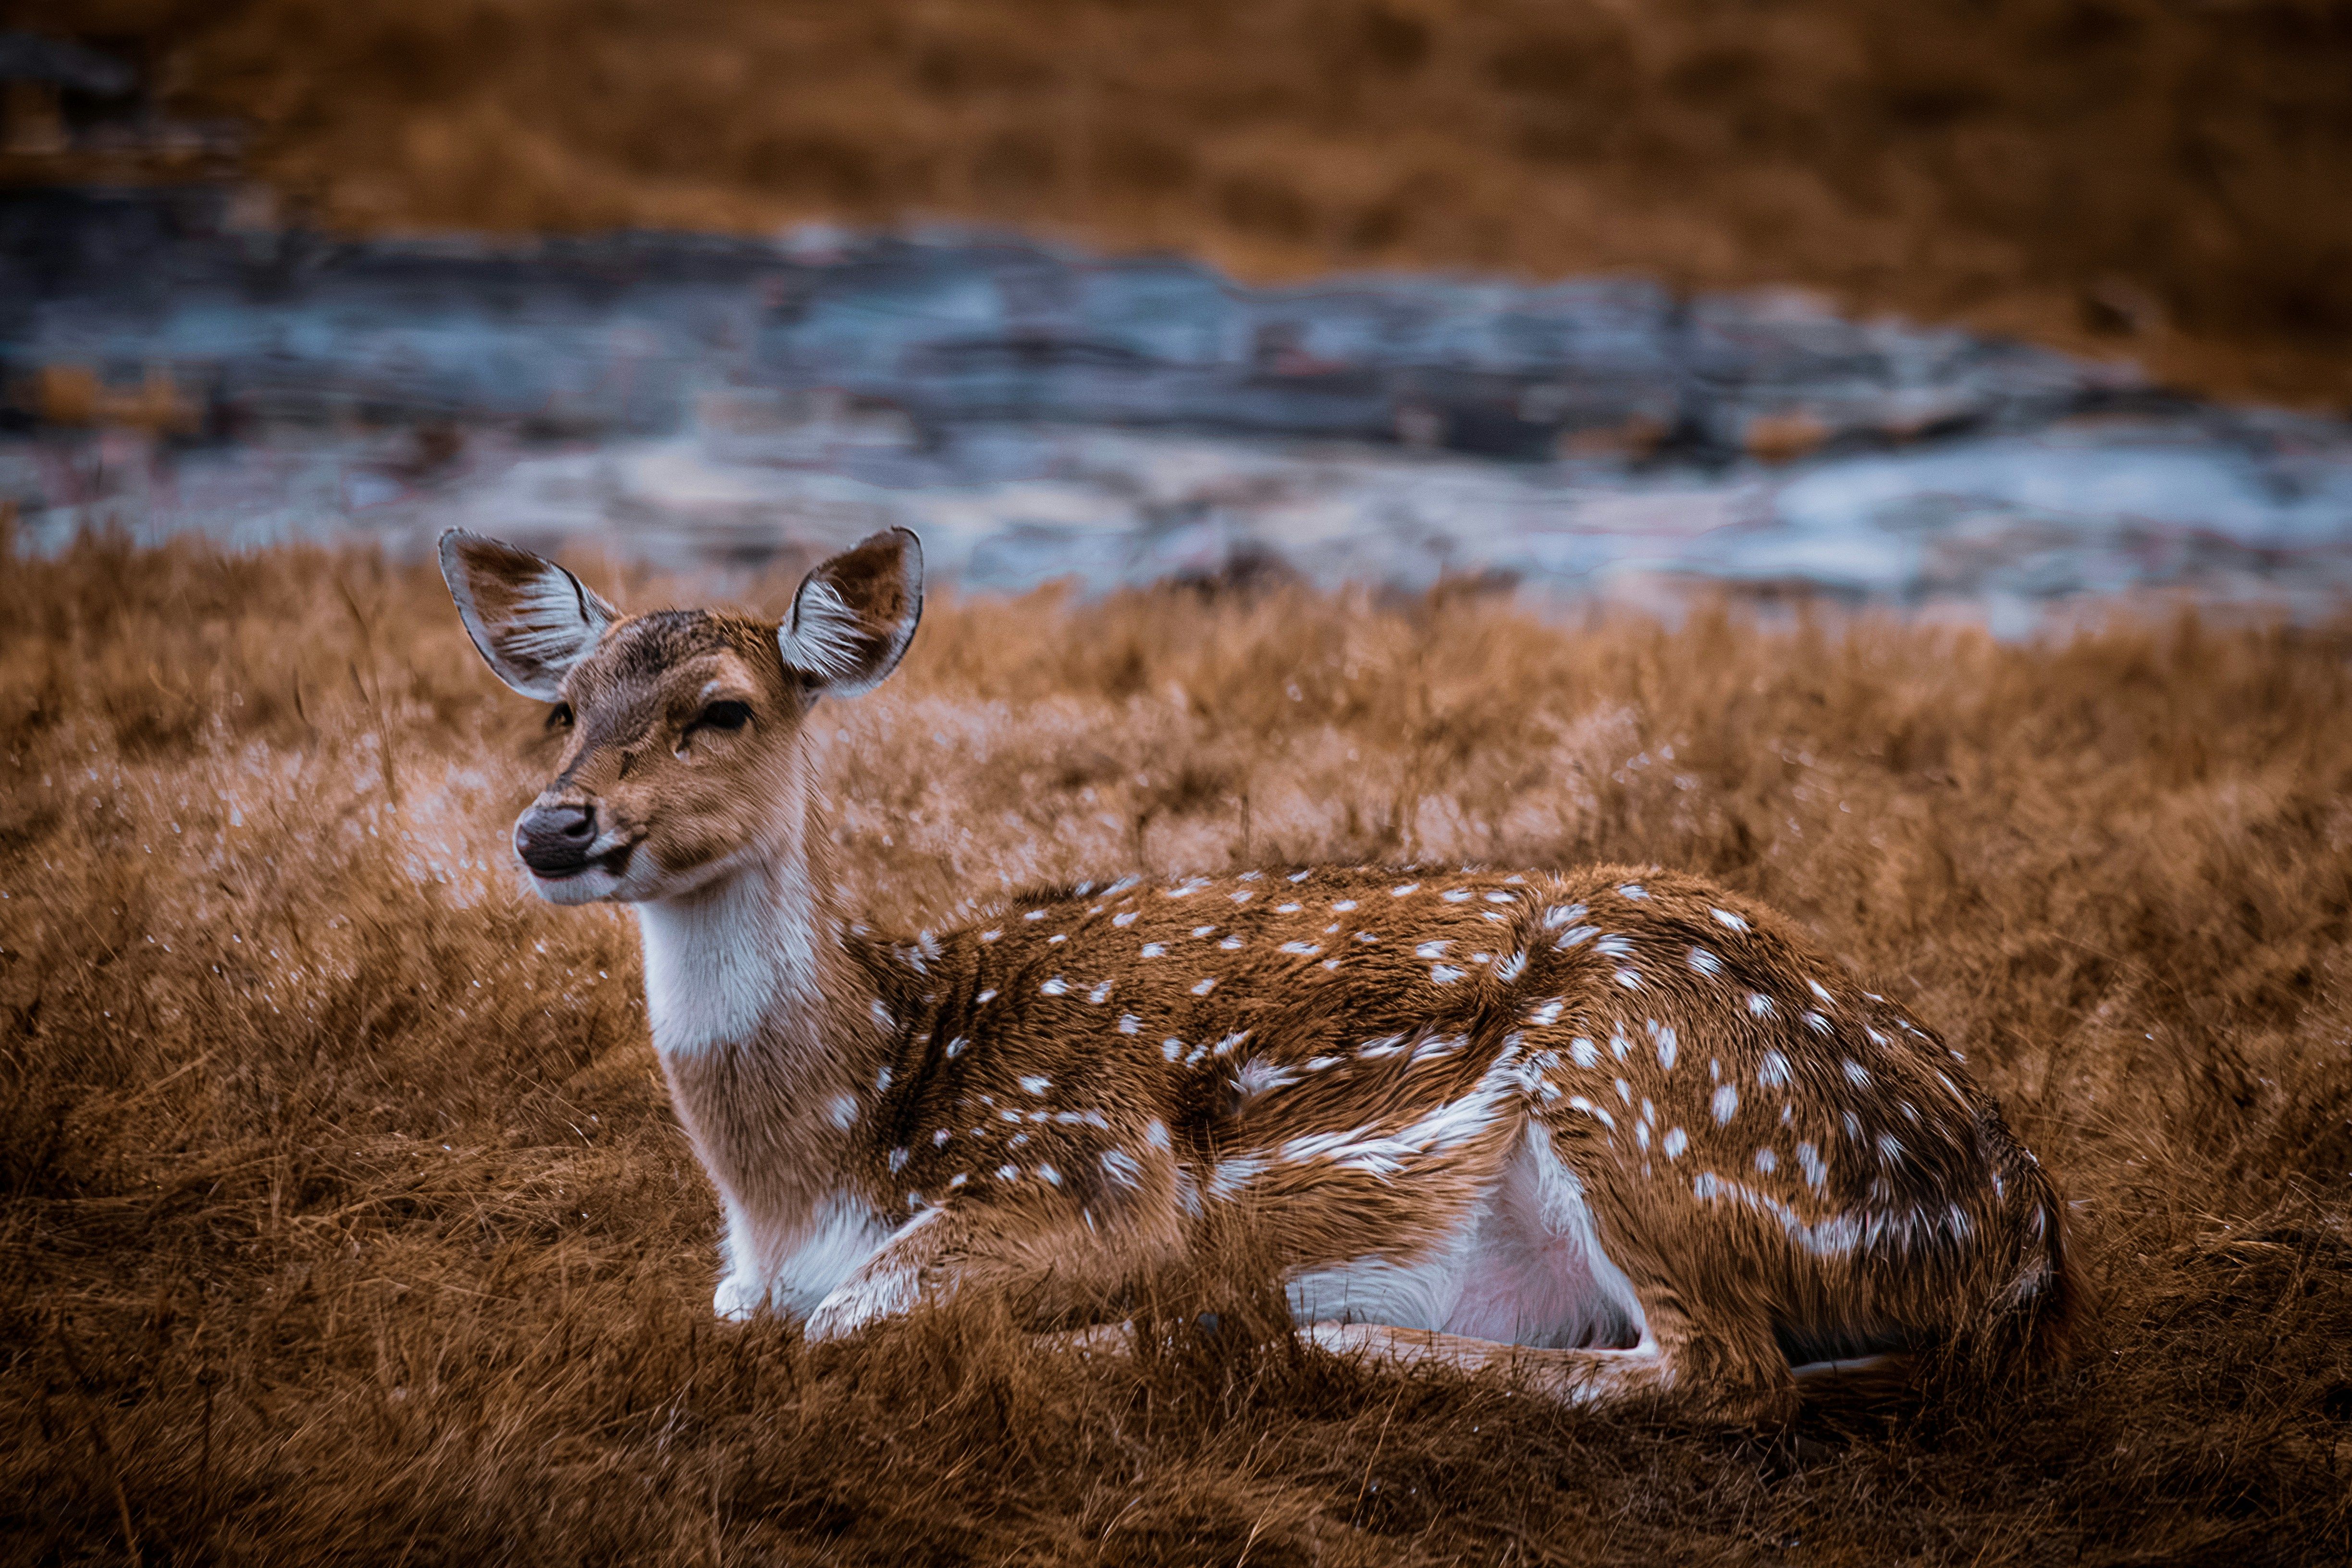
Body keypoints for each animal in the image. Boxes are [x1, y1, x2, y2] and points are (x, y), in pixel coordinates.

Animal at [438, 524, 2073, 1425]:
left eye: (721, 709)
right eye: (562, 708)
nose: (552, 828)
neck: (827, 1152)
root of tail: (2017, 1250)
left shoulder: (1086, 1175)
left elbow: (847, 1319)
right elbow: (754, 1314)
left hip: (1642, 1088)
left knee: (1719, 1372)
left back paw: (1269, 1334)